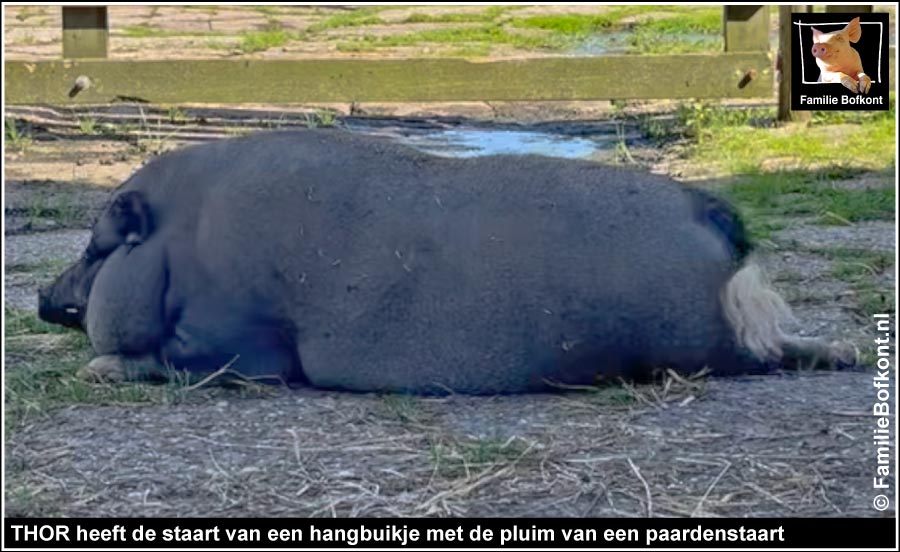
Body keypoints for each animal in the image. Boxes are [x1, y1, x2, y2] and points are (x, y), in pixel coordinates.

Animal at [38, 129, 856, 392]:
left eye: (96, 246)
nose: (43, 296)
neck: (178, 246)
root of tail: (709, 212)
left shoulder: (246, 348)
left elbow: (169, 361)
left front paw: (98, 368)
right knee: (784, 344)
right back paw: (847, 353)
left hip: (694, 343)